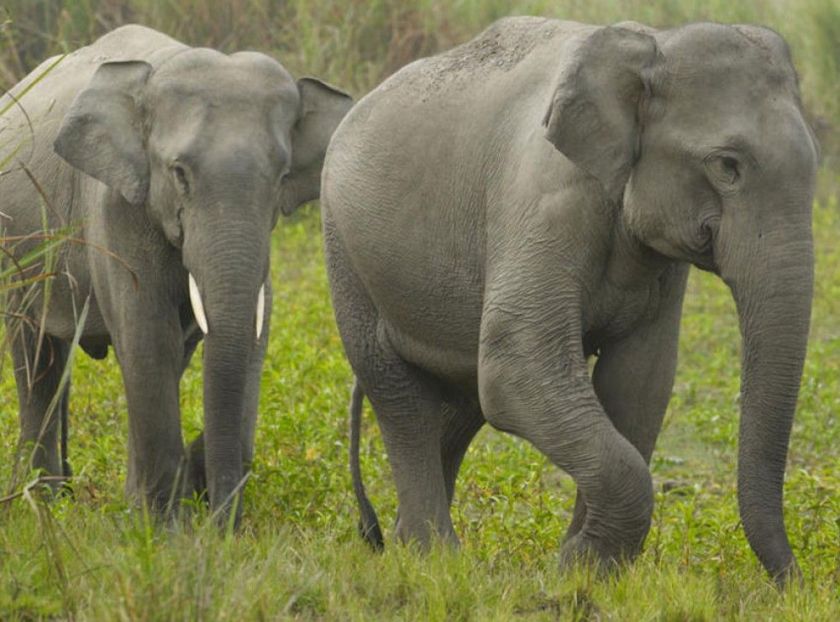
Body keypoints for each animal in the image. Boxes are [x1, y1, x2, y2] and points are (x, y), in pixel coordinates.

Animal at [324, 17, 816, 588]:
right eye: (727, 166)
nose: (793, 584)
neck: (652, 45)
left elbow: (639, 381)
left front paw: (583, 567)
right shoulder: (545, 202)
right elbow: (517, 365)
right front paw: (578, 566)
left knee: (461, 399)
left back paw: (410, 546)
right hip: (345, 250)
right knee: (398, 392)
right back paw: (433, 557)